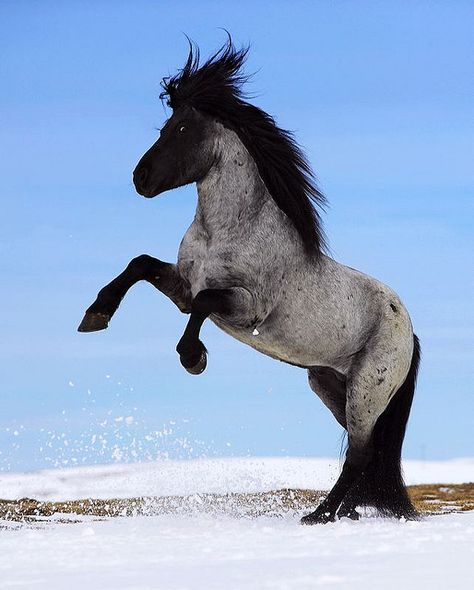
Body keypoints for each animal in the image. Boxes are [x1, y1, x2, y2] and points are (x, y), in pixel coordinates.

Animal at [78, 39, 422, 524]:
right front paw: (96, 314)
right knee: (370, 454)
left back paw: (319, 516)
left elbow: (205, 302)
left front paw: (194, 358)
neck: (228, 230)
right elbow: (140, 265)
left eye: (181, 128)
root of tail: (408, 327)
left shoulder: (246, 308)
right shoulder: (182, 288)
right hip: (329, 385)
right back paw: (343, 513)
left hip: (365, 392)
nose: (139, 179)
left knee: (359, 455)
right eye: (165, 125)